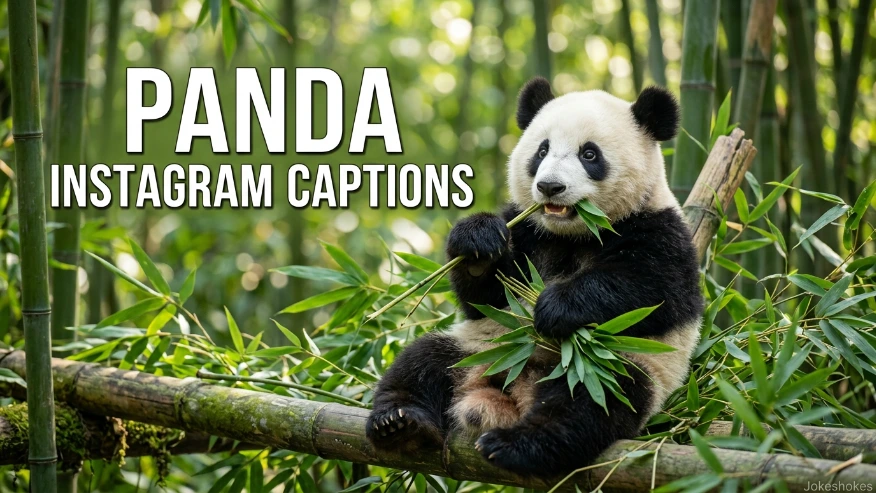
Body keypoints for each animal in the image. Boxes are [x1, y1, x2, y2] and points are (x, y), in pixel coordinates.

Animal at [365, 77, 704, 479]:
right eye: (542, 150)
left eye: (590, 155)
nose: (550, 187)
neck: (573, 233)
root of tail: (509, 392)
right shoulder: (527, 231)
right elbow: (485, 298)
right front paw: (478, 243)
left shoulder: (661, 230)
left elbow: (652, 290)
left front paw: (554, 307)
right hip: (475, 345)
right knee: (420, 363)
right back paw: (399, 424)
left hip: (614, 364)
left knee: (589, 402)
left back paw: (517, 445)